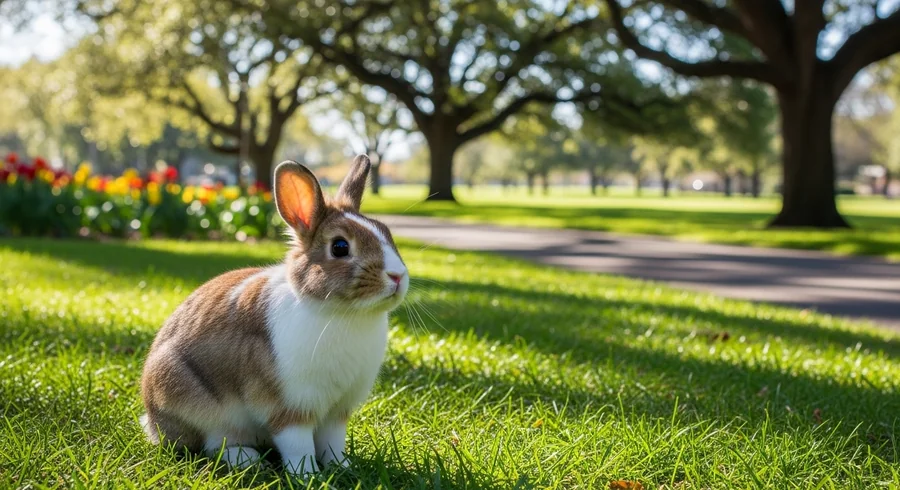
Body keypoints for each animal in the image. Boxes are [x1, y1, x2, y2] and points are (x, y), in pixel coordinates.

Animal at [139, 155, 409, 475]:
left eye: (387, 232)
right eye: (340, 247)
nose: (397, 276)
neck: (342, 313)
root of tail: (153, 423)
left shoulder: (336, 411)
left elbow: (332, 442)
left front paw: (342, 467)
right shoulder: (290, 407)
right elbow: (298, 445)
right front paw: (308, 475)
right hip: (193, 402)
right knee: (212, 445)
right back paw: (248, 459)